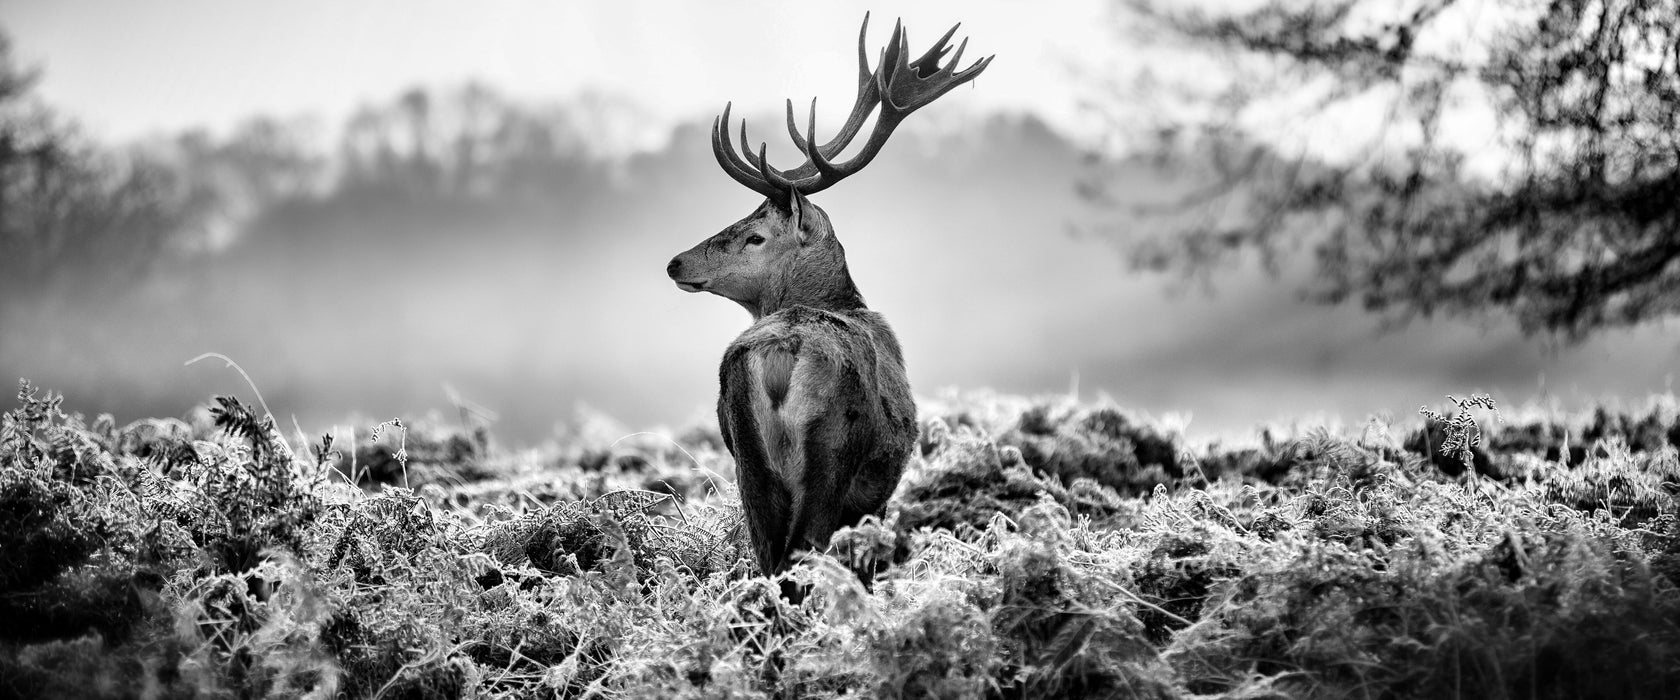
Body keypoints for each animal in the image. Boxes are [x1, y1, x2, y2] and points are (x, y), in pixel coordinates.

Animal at [661, 13, 987, 587]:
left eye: (754, 236)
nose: (676, 262)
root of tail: (780, 354)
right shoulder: (874, 495)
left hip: (746, 458)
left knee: (766, 556)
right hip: (833, 453)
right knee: (802, 552)